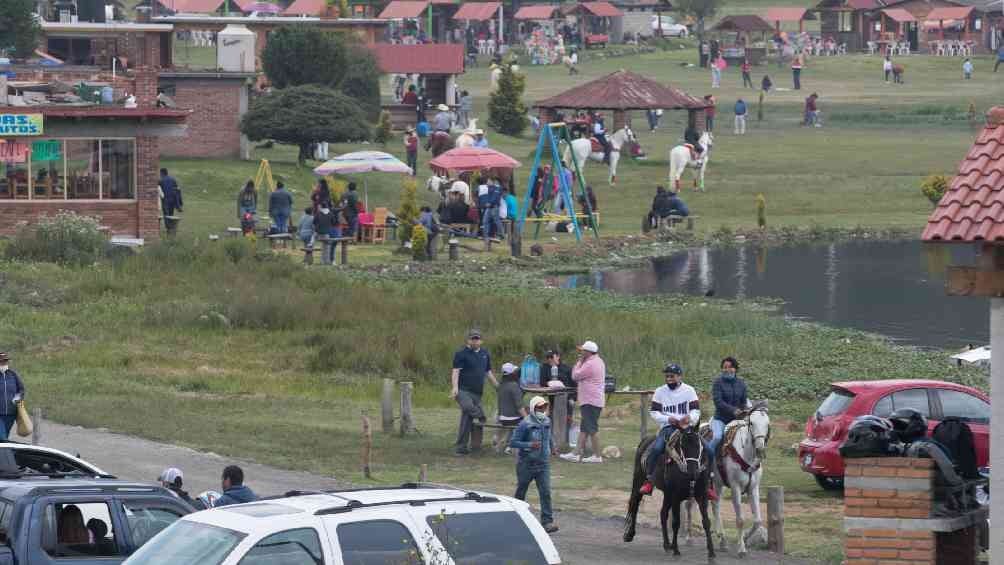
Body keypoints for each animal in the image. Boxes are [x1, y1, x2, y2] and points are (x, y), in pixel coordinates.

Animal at [622, 429, 718, 561]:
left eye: (699, 446)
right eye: (682, 446)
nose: (692, 471)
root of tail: (645, 440)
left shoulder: (701, 496)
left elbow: (706, 522)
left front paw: (711, 552)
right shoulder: (676, 497)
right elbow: (676, 522)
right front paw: (676, 550)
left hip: (667, 494)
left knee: (663, 513)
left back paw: (667, 545)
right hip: (639, 480)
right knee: (635, 504)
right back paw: (629, 534)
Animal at [686, 401, 771, 557]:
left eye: (767, 423)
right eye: (751, 423)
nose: (760, 449)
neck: (745, 454)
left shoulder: (753, 488)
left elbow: (757, 520)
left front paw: (745, 537)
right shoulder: (735, 487)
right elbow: (740, 519)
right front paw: (741, 548)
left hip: (717, 484)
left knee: (716, 505)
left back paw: (722, 540)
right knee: (689, 505)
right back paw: (689, 538)